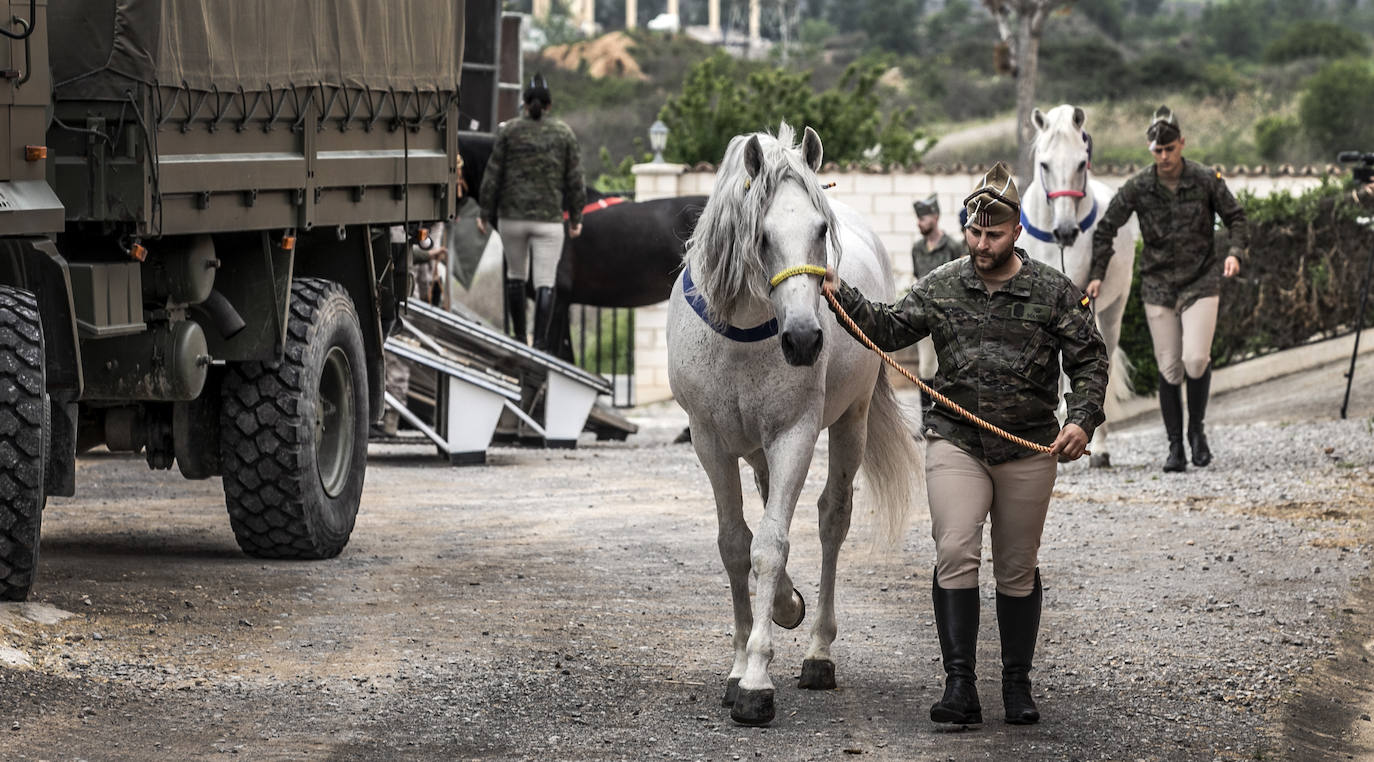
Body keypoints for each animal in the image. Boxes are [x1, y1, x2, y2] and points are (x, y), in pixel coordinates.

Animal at [667, 123, 923, 724]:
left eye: (820, 229)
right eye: (759, 235)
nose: (805, 339)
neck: (740, 335)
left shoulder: (795, 435)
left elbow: (770, 544)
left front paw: (757, 679)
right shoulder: (709, 442)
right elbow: (735, 544)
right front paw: (741, 661)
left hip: (850, 420)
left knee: (833, 519)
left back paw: (818, 653)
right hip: (753, 447)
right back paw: (785, 605)